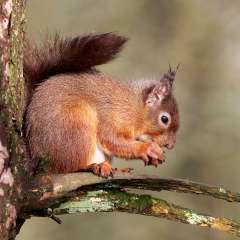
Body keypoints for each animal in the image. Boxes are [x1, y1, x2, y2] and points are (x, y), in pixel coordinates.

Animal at [23, 32, 179, 177]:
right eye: (164, 119)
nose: (170, 145)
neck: (135, 108)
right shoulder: (111, 115)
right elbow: (111, 139)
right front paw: (147, 149)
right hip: (76, 126)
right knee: (66, 168)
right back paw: (92, 166)